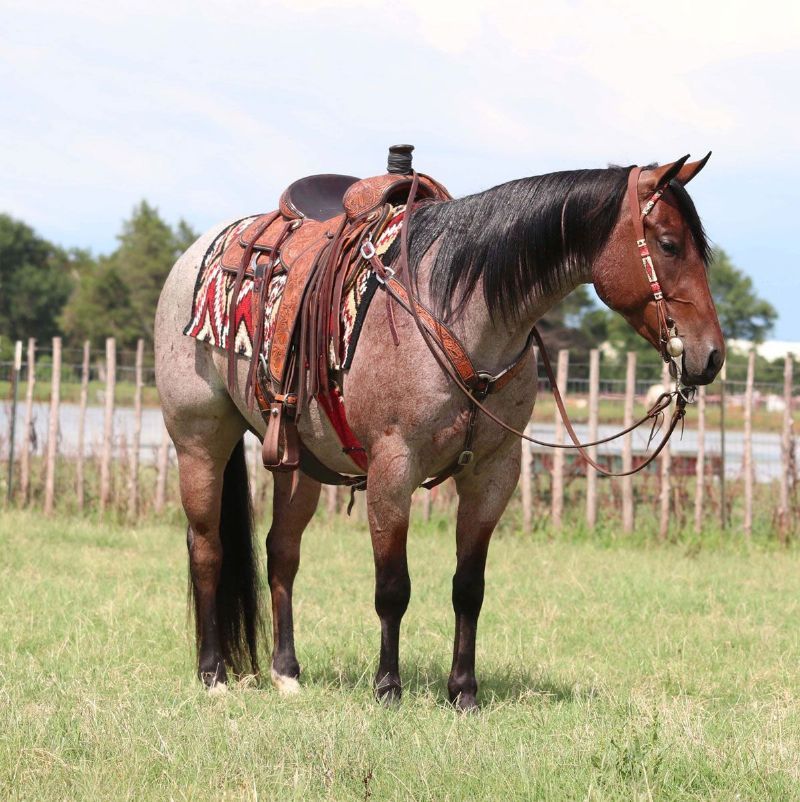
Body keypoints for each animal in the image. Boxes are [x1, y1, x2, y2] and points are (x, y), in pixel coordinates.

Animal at [154, 154, 724, 709]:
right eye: (669, 244)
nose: (712, 356)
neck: (462, 314)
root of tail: (195, 254)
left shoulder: (494, 474)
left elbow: (468, 587)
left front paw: (463, 691)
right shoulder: (392, 468)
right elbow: (392, 587)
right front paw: (388, 687)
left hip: (298, 464)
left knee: (282, 553)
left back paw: (286, 673)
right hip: (200, 441)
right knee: (206, 546)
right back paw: (213, 673)